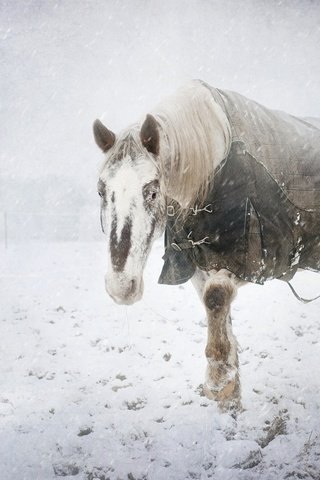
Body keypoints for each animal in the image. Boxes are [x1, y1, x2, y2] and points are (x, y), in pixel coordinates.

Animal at [93, 80, 320, 410]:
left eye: (152, 191)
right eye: (101, 190)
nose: (121, 286)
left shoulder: (244, 263)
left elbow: (216, 298)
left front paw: (218, 382)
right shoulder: (200, 265)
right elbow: (216, 310)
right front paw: (229, 396)